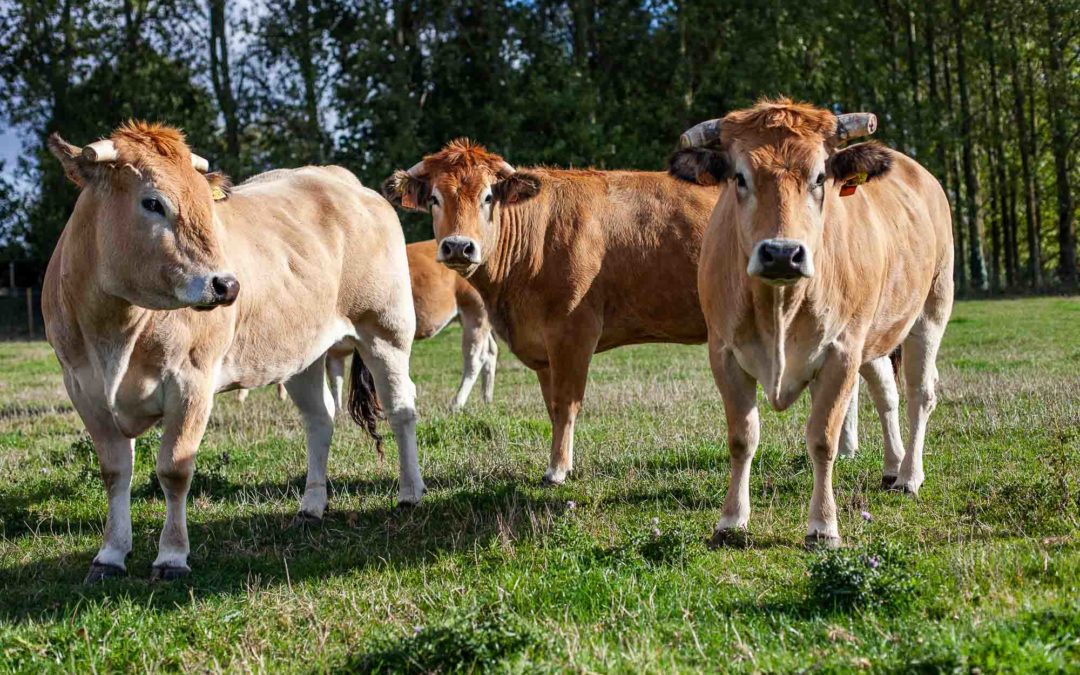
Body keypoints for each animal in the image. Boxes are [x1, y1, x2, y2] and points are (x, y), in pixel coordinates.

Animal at [46, 123, 425, 583]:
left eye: (205, 203)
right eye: (152, 202)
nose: (226, 284)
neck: (114, 332)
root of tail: (342, 180)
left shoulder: (191, 382)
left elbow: (174, 469)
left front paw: (172, 556)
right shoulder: (84, 389)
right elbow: (116, 472)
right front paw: (110, 554)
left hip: (386, 331)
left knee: (401, 408)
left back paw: (410, 493)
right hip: (301, 352)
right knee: (320, 418)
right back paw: (312, 506)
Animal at [384, 138, 898, 483]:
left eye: (488, 197)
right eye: (435, 198)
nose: (458, 246)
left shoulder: (573, 330)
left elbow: (566, 404)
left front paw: (558, 470)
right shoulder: (544, 345)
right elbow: (552, 405)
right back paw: (860, 453)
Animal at [669, 99, 959, 548]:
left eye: (820, 176)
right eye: (739, 177)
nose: (781, 253)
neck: (779, 307)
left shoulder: (841, 352)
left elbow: (823, 439)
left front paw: (823, 526)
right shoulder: (724, 353)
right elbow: (742, 438)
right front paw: (731, 521)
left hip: (932, 308)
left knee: (920, 393)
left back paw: (910, 475)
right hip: (874, 336)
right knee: (886, 393)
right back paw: (892, 466)